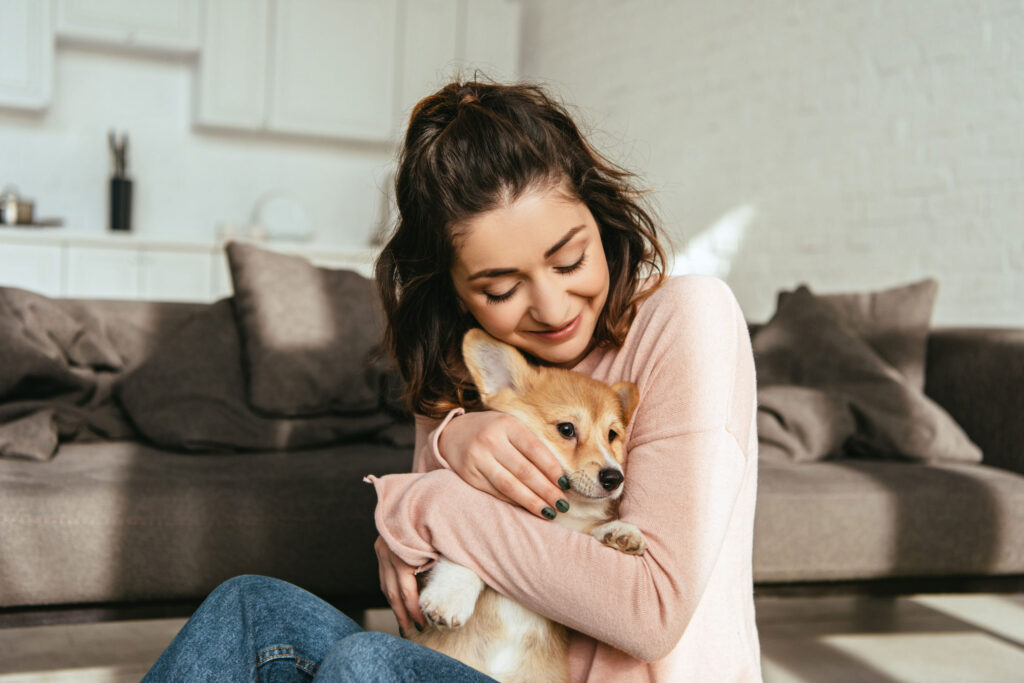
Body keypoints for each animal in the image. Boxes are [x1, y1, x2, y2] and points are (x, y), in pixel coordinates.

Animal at [405, 327, 638, 683]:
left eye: (612, 435)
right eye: (567, 429)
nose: (615, 477)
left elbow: (590, 531)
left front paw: (620, 531)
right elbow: (466, 551)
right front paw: (450, 598)